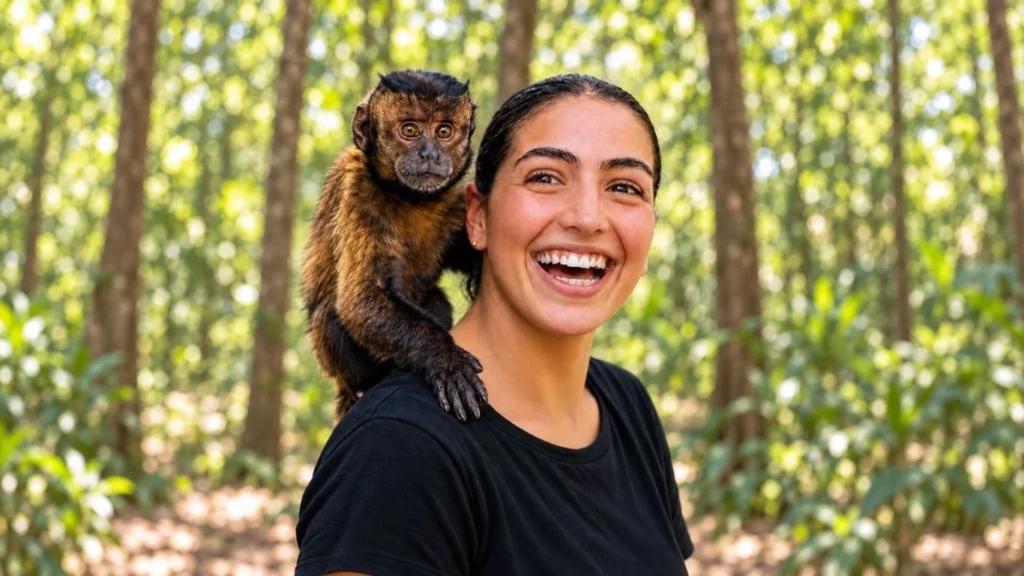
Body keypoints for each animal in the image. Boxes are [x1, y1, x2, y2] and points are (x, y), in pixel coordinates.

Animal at [300, 70, 488, 422]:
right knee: (328, 315)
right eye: (409, 130)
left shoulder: (453, 201)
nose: (429, 154)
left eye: (444, 131)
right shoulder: (358, 189)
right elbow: (361, 301)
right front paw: (445, 357)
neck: (409, 197)